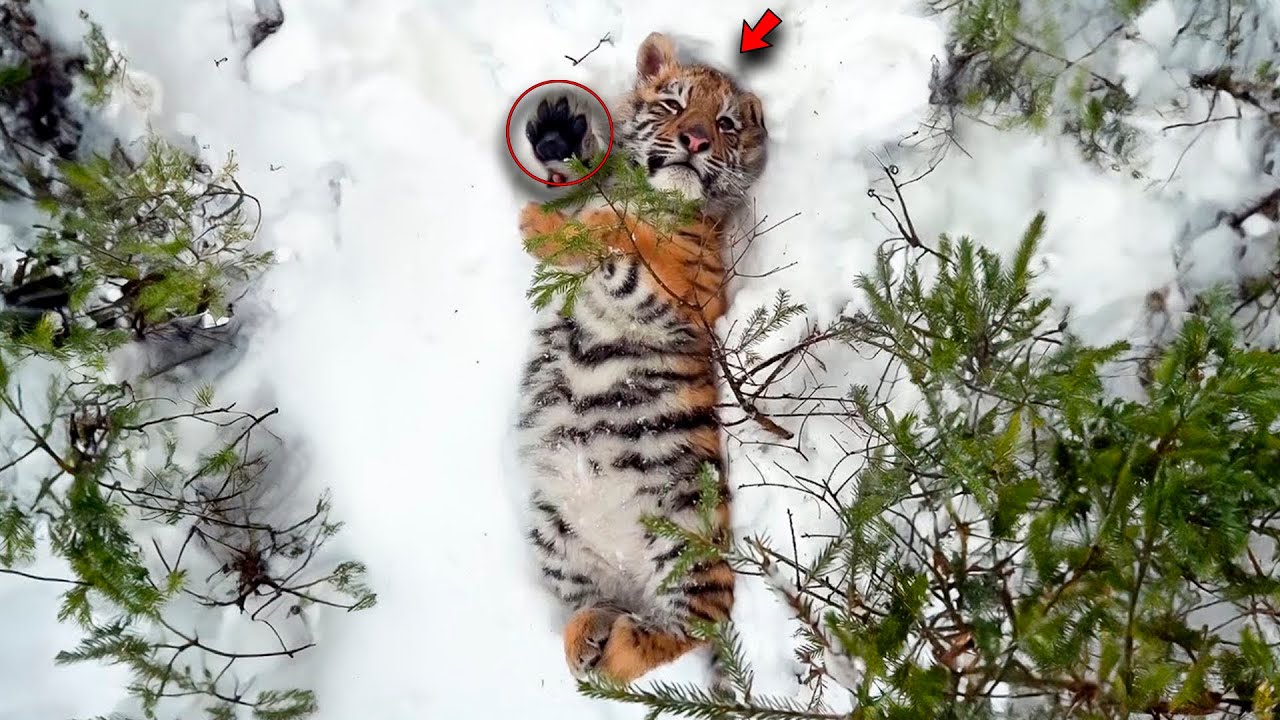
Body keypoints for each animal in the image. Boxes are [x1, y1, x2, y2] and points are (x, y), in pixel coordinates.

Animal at [514, 31, 769, 683]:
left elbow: (614, 233)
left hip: (687, 538)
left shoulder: (696, 292)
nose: (695, 140)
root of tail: (624, 568)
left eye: (725, 124)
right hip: (558, 545)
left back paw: (615, 650)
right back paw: (586, 640)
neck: (658, 198)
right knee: (593, 604)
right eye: (673, 105)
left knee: (696, 622)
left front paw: (537, 225)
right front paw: (559, 144)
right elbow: (594, 206)